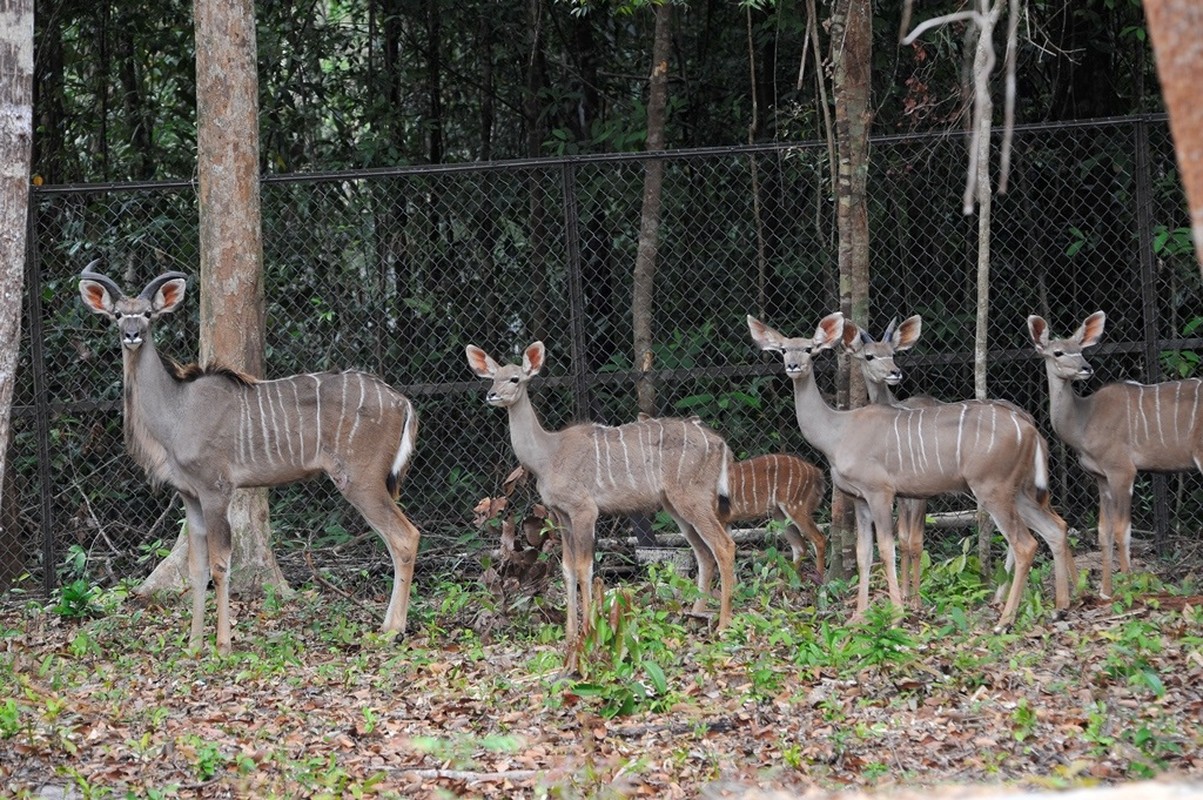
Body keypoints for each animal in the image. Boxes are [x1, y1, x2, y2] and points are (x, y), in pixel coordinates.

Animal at [77, 268, 421, 654]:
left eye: (148, 314)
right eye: (117, 314)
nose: (132, 335)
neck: (177, 412)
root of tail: (403, 403)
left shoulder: (216, 489)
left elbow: (219, 564)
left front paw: (222, 644)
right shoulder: (189, 496)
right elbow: (196, 569)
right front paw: (194, 644)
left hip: (360, 480)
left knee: (405, 537)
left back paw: (393, 631)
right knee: (393, 540)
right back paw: (386, 627)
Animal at [466, 339, 731, 659]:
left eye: (515, 378)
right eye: (493, 377)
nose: (491, 395)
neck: (547, 456)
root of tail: (721, 444)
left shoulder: (585, 510)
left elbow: (585, 568)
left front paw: (588, 631)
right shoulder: (560, 514)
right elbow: (568, 569)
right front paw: (569, 636)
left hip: (693, 497)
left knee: (724, 546)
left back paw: (723, 625)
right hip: (675, 504)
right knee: (704, 553)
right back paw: (695, 615)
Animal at [745, 312, 1077, 630]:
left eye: (810, 350)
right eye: (783, 349)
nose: (793, 366)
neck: (837, 432)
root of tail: (1030, 430)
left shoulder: (881, 492)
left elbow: (888, 548)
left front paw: (897, 614)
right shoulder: (859, 498)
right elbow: (864, 553)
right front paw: (859, 617)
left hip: (992, 489)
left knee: (1024, 543)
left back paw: (1004, 621)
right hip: (1016, 490)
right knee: (1053, 528)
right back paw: (1059, 608)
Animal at [1029, 310, 1198, 591]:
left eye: (1080, 350)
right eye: (1058, 352)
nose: (1086, 368)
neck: (1084, 419)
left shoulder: (1123, 471)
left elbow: (1122, 530)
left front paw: (1128, 585)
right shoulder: (1101, 477)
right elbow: (1103, 532)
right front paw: (1105, 591)